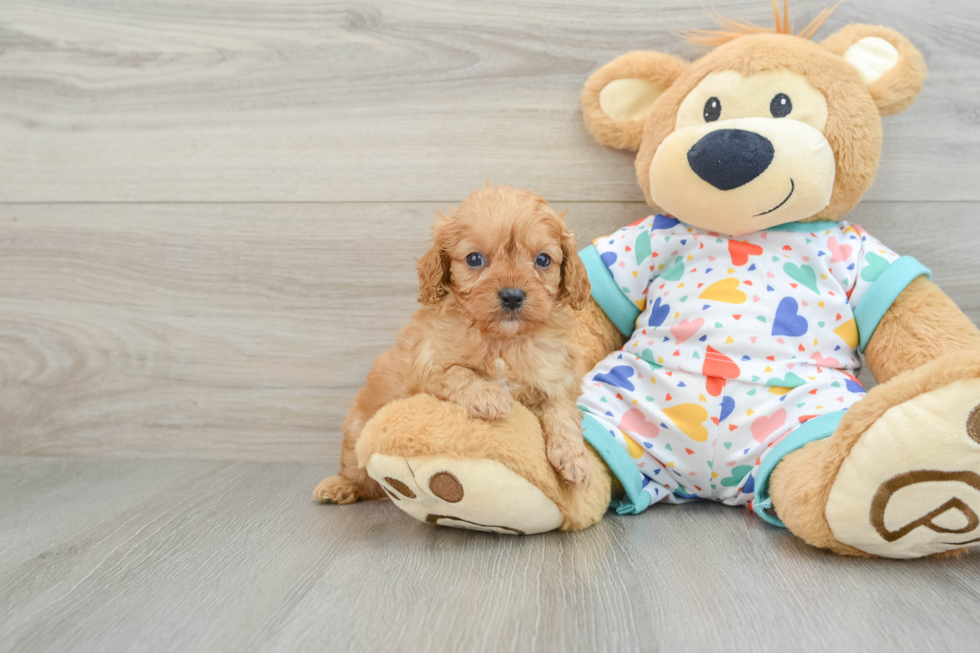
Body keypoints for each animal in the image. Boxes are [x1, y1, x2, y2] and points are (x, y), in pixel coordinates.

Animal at [316, 185, 588, 504]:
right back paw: (339, 486)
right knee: (357, 472)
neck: (501, 341)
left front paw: (574, 458)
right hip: (357, 428)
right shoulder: (426, 365)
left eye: (543, 260)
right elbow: (458, 372)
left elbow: (563, 413)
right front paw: (488, 395)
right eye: (474, 259)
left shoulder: (554, 377)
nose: (512, 295)